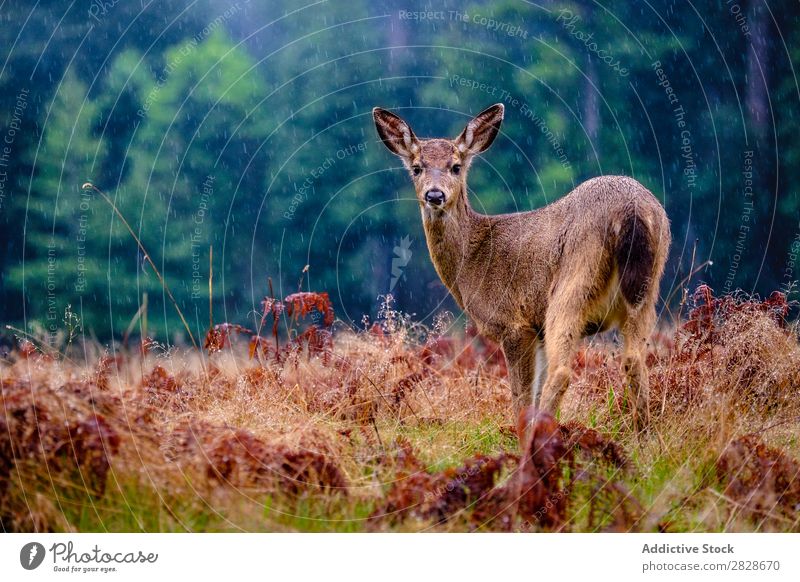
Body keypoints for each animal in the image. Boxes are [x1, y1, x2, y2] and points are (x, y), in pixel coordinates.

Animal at [374, 105, 668, 432]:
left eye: (455, 166)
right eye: (416, 167)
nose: (435, 195)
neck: (472, 259)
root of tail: (631, 209)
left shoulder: (514, 323)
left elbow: (521, 399)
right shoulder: (536, 330)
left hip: (573, 282)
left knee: (562, 371)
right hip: (647, 288)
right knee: (634, 359)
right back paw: (643, 434)